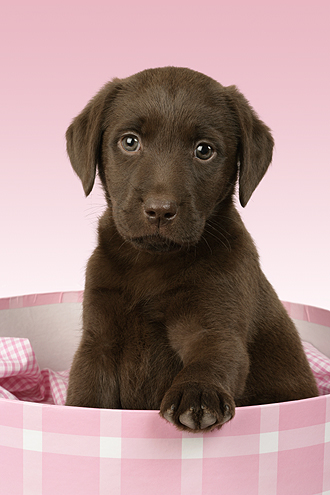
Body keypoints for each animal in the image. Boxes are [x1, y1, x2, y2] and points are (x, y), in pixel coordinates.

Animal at [64, 68, 318, 432]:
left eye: (204, 150)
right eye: (130, 142)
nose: (159, 210)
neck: (152, 262)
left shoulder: (214, 324)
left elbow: (211, 356)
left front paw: (197, 394)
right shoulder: (98, 342)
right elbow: (86, 393)